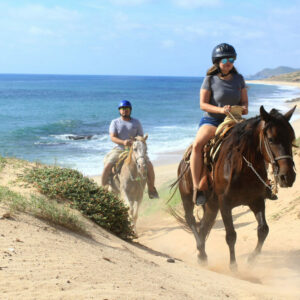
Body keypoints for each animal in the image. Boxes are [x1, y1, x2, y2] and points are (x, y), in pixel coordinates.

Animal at [175, 106, 296, 270]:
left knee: (205, 224)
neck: (243, 165)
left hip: (212, 205)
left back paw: (202, 255)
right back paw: (201, 250)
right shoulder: (225, 203)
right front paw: (233, 267)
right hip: (188, 198)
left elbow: (263, 230)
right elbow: (231, 235)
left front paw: (251, 260)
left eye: (291, 138)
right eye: (271, 139)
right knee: (191, 219)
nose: (288, 176)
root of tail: (183, 162)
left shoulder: (256, 200)